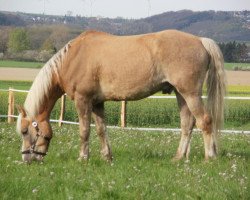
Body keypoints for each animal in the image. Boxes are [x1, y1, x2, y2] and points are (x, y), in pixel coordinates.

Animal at [16, 30, 226, 164]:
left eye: (25, 131)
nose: (26, 158)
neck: (72, 59)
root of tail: (200, 40)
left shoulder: (83, 100)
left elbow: (84, 131)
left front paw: (83, 158)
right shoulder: (97, 103)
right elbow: (101, 130)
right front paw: (107, 157)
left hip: (190, 93)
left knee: (205, 121)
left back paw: (210, 157)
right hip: (180, 94)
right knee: (187, 125)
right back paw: (179, 157)